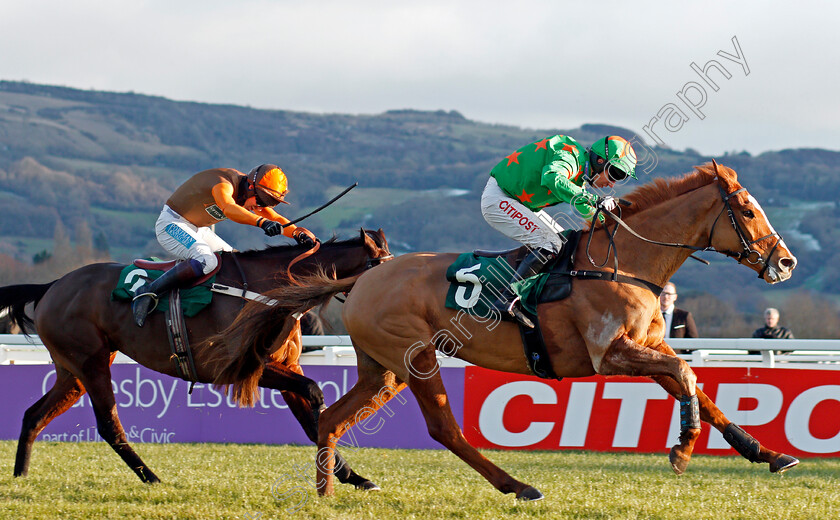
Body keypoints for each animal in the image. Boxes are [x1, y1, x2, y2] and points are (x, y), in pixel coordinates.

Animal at [0, 229, 392, 488]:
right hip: (90, 363)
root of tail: (52, 286)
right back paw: (152, 478)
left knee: (34, 415)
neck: (269, 292)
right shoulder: (240, 367)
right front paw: (345, 474)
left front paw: (353, 476)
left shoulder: (285, 366)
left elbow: (311, 417)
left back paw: (20, 476)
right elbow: (314, 394)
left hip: (74, 370)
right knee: (109, 425)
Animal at [215, 165, 796, 502]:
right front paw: (682, 447)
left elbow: (698, 386)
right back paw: (518, 485)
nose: (785, 262)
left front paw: (766, 453)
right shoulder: (611, 355)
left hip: (383, 370)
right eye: (748, 210)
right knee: (444, 430)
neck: (624, 262)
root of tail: (364, 277)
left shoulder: (645, 346)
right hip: (417, 360)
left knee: (331, 417)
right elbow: (686, 376)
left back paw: (325, 492)